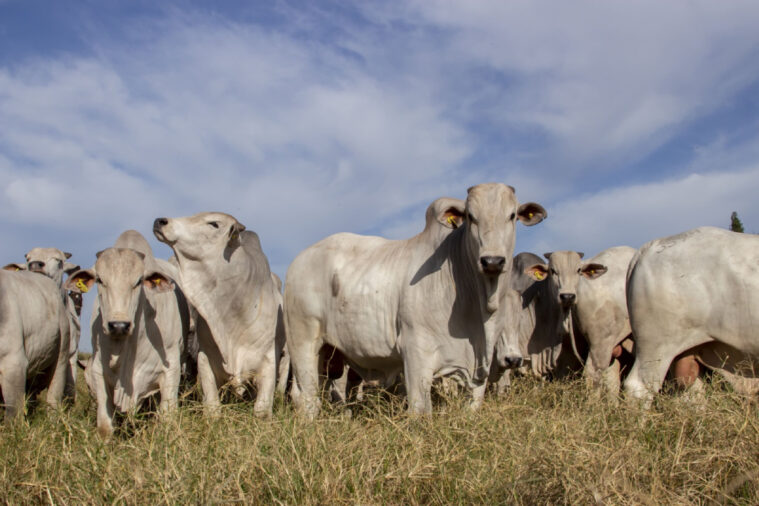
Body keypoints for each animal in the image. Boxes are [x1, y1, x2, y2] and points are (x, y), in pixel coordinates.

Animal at [67, 231, 189, 436]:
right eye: (100, 280)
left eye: (138, 281)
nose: (118, 325)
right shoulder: (99, 371)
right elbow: (104, 425)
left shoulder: (171, 369)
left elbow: (167, 418)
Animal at [154, 211, 284, 418]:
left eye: (214, 224)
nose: (160, 221)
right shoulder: (205, 359)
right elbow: (212, 407)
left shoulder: (268, 360)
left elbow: (261, 410)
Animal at [284, 183, 548, 420]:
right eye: (471, 217)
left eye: (512, 216)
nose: (492, 261)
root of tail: (299, 260)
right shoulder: (416, 351)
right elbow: (420, 410)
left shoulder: (476, 369)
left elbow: (473, 406)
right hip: (303, 342)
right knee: (308, 397)